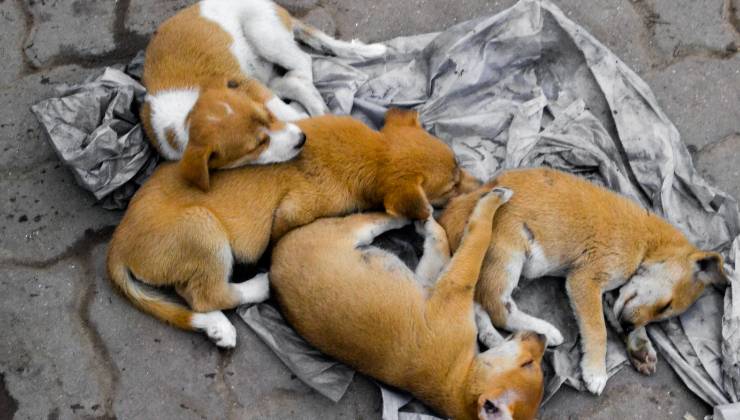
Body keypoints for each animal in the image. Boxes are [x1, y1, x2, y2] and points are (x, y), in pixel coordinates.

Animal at [108, 109, 480, 348]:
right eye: (451, 186)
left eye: (458, 165)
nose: (483, 186)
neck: (372, 152)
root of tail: (118, 247)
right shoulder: (291, 213)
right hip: (203, 229)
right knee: (207, 294)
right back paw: (258, 287)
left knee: (191, 295)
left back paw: (217, 327)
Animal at [142, 0, 390, 161]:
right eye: (257, 146)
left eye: (267, 117)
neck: (187, 112)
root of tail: (275, 6)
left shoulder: (248, 86)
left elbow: (288, 112)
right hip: (264, 70)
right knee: (289, 81)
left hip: (264, 34)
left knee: (303, 61)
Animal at [268, 188, 548, 420]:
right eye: (528, 364)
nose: (542, 337)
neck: (457, 376)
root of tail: (272, 267)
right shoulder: (449, 285)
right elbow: (473, 240)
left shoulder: (445, 286)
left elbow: (459, 244)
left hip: (352, 229)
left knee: (380, 217)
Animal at [440, 167, 728, 394]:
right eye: (665, 306)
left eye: (663, 316)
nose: (628, 326)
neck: (648, 243)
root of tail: (454, 211)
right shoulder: (585, 280)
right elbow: (598, 329)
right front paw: (595, 371)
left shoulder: (613, 293)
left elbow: (615, 312)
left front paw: (639, 346)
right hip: (507, 254)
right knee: (498, 307)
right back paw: (545, 331)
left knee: (479, 309)